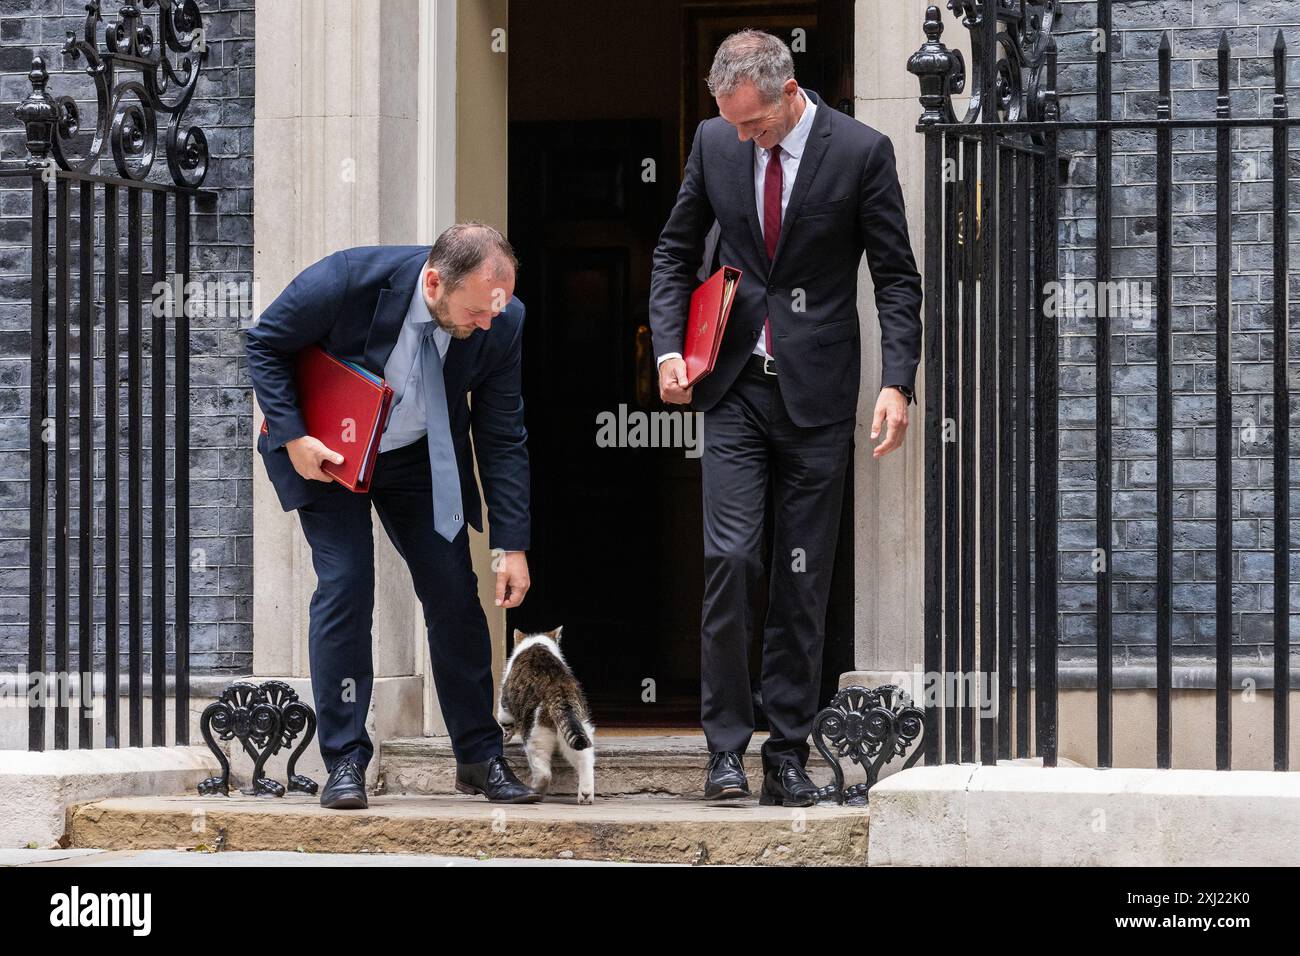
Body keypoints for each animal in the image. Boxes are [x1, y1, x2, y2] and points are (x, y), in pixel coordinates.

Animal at [496, 624, 598, 806]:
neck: (537, 644)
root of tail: (560, 692)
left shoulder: (505, 702)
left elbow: (504, 721)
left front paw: (504, 737)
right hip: (579, 730)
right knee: (586, 759)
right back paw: (585, 794)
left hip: (536, 734)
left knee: (544, 773)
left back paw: (534, 791)